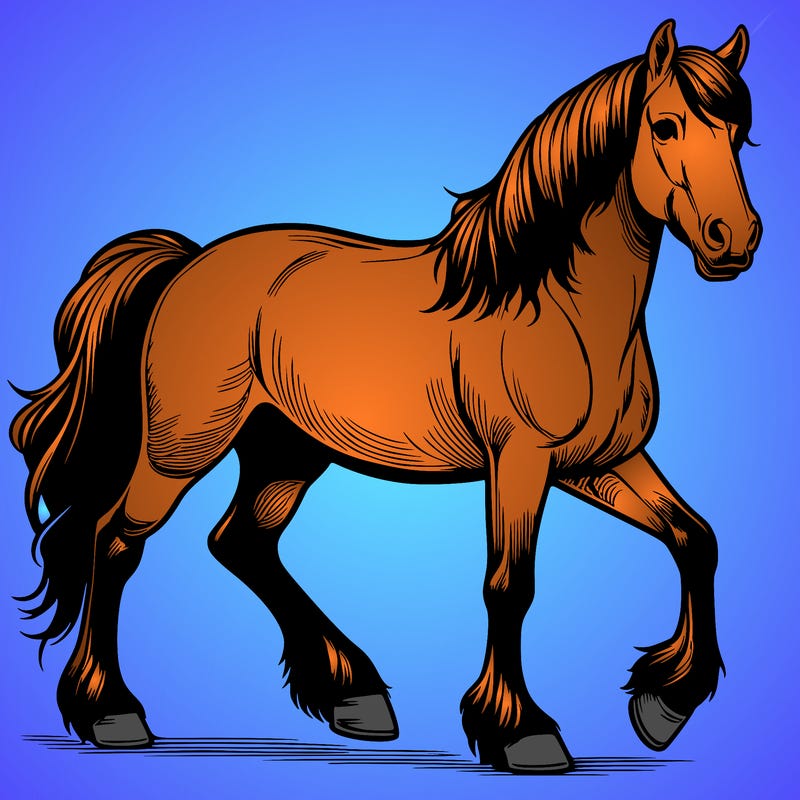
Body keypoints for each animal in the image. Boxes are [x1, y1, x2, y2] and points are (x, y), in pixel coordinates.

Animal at [10, 19, 760, 773]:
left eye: (740, 132)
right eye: (664, 125)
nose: (735, 239)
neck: (555, 305)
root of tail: (187, 263)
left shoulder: (599, 462)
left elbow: (696, 539)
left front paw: (664, 705)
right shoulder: (520, 462)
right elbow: (510, 585)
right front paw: (522, 732)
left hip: (286, 451)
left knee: (241, 542)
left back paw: (354, 695)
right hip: (182, 447)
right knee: (115, 541)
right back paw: (112, 713)